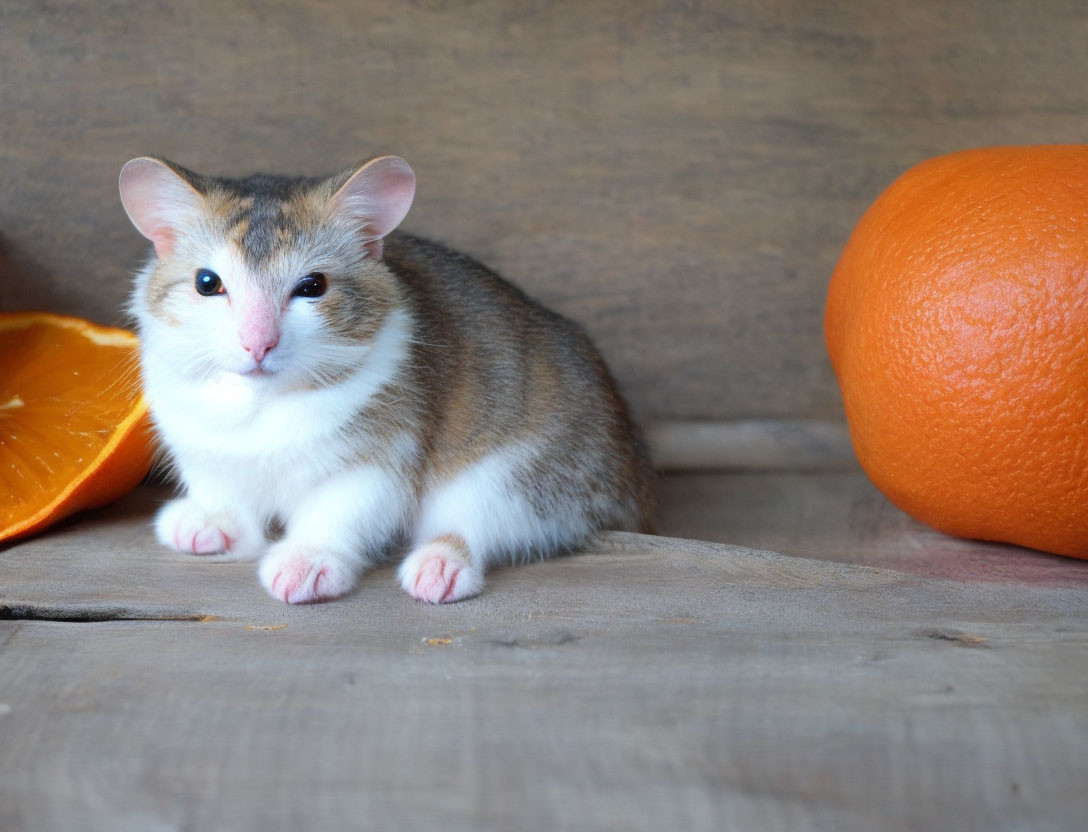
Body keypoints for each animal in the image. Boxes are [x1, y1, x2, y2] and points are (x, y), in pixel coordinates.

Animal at [123, 152, 657, 600]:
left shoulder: (374, 463)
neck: (262, 402)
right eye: (206, 283)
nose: (258, 344)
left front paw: (307, 561)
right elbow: (225, 493)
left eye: (312, 286)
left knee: (472, 526)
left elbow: (337, 512)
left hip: (512, 478)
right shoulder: (205, 450)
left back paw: (438, 567)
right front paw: (209, 522)